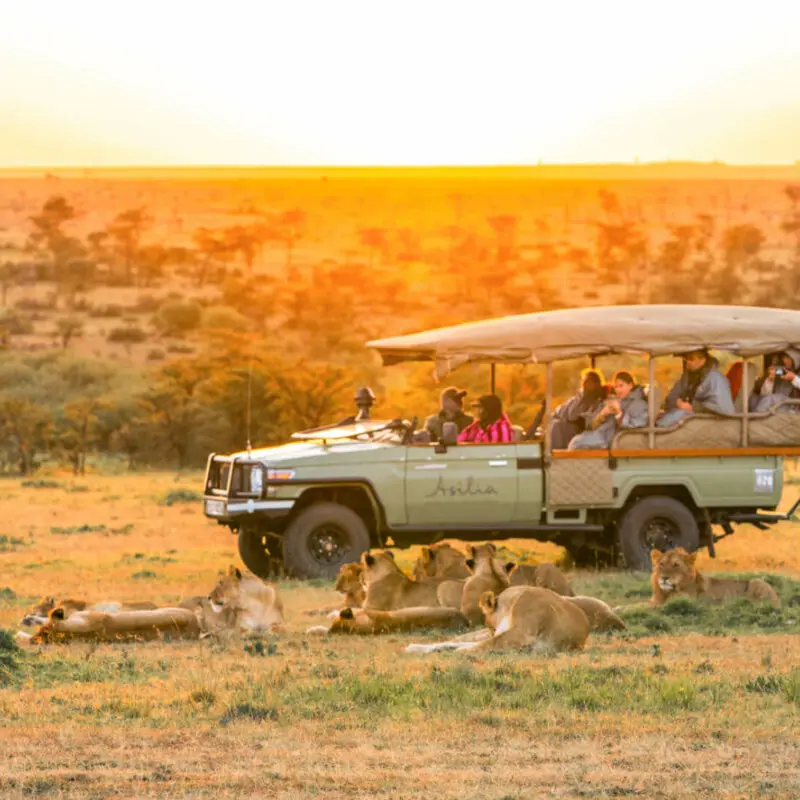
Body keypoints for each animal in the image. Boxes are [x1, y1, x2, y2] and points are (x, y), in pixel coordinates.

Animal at [407, 586, 590, 654]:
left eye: (490, 626)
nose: (492, 631)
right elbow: (455, 642)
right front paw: (417, 647)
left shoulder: (522, 634)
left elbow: (483, 644)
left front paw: (459, 652)